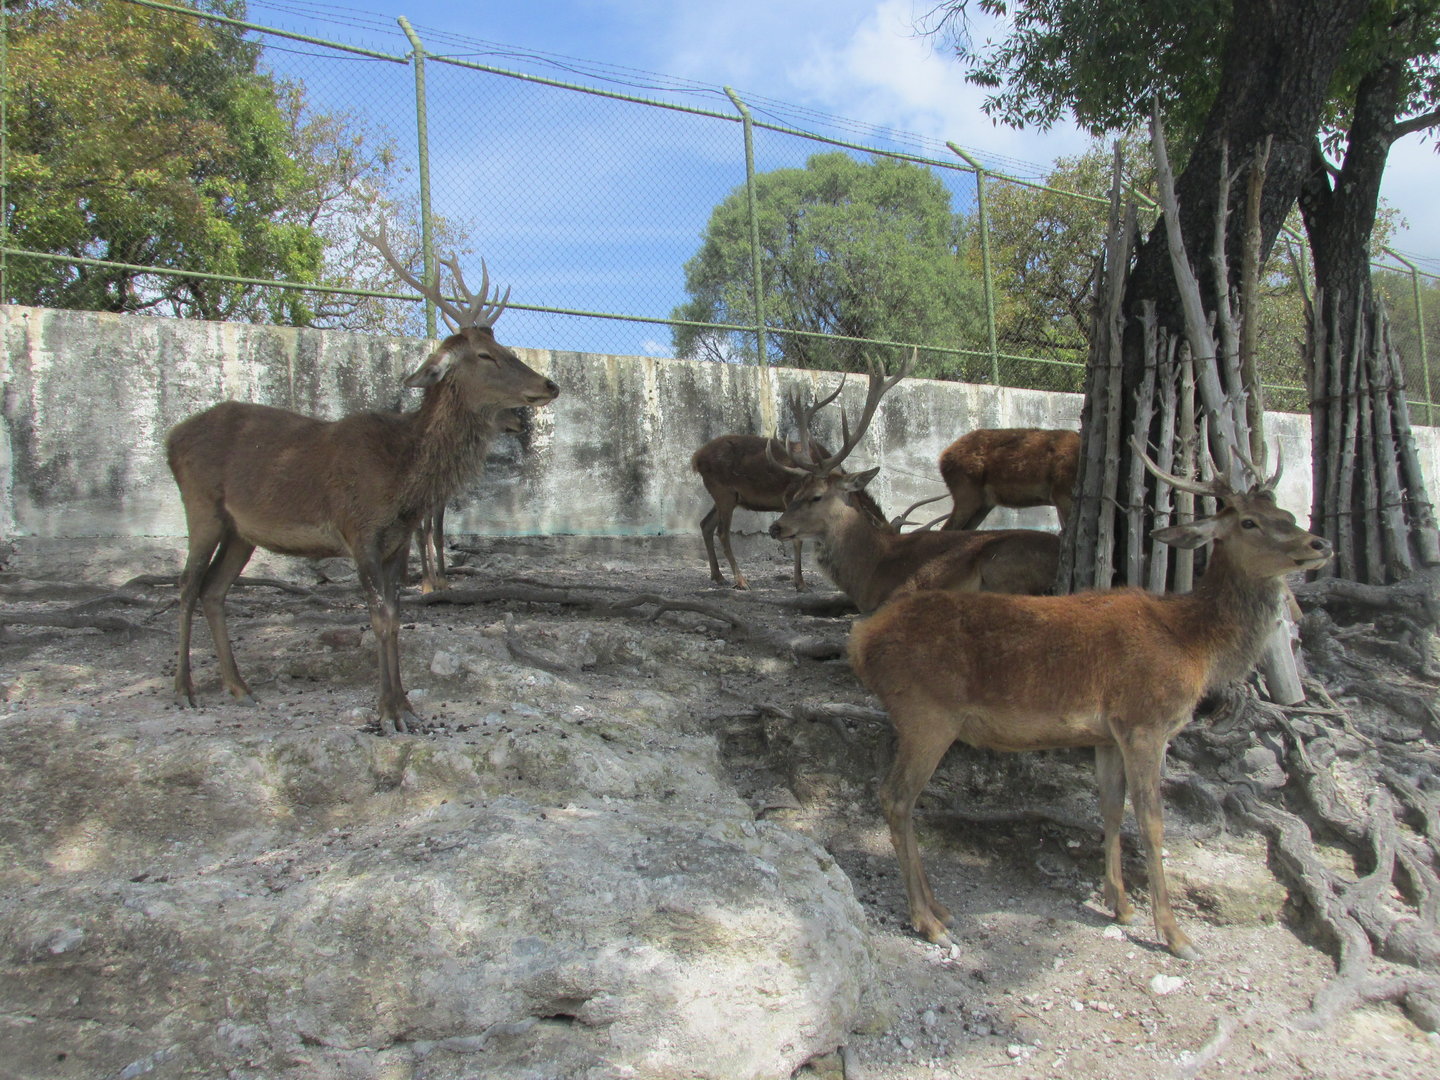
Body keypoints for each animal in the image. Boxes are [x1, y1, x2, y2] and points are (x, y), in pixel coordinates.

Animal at [415, 406, 527, 593]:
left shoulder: (441, 497)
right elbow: (422, 537)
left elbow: (437, 535)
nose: (521, 423)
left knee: (427, 530)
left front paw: (442, 582)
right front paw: (427, 586)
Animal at [692, 379, 886, 592]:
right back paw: (741, 580)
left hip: (727, 496)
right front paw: (800, 583)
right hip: (723, 491)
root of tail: (696, 458)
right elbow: (798, 539)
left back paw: (718, 576)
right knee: (722, 533)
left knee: (705, 524)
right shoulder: (789, 496)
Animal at [766, 355, 1060, 613]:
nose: (775, 527)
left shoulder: (904, 590)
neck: (870, 570)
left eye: (816, 496)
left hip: (1003, 565)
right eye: (795, 494)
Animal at [848, 441, 1332, 960]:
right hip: (928, 714)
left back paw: (941, 908)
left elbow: (1110, 808)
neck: (1194, 646)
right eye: (1248, 522)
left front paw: (1120, 905)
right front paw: (1176, 935)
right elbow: (1152, 821)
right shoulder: (1146, 721)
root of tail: (861, 640)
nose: (1318, 545)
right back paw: (927, 920)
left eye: (1287, 514)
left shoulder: (1107, 733)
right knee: (896, 797)